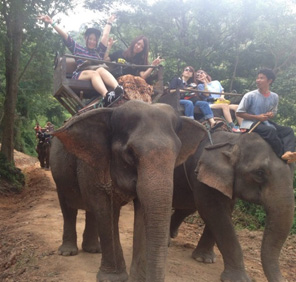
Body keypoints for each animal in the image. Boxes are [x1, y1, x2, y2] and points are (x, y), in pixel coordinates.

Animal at [49, 101, 207, 282]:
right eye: (130, 153)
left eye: (177, 155)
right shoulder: (93, 164)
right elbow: (106, 210)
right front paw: (112, 278)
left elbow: (142, 211)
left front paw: (137, 278)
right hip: (58, 175)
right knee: (69, 208)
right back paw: (68, 252)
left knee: (91, 211)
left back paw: (93, 250)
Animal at [170, 131, 294, 280]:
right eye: (259, 173)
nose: (284, 280)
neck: (234, 141)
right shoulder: (202, 177)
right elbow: (213, 212)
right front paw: (238, 279)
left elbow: (223, 211)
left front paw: (204, 259)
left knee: (186, 208)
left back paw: (171, 236)